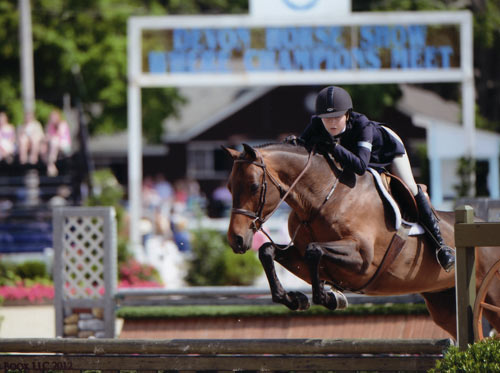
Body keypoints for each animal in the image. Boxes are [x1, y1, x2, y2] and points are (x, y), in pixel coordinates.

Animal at [224, 142, 500, 338]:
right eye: (228, 187)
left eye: (253, 186)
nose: (236, 239)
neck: (323, 197)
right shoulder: (299, 254)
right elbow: (268, 251)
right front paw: (295, 299)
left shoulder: (363, 260)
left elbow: (315, 251)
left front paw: (330, 298)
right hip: (444, 303)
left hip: (491, 296)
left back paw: (446, 254)